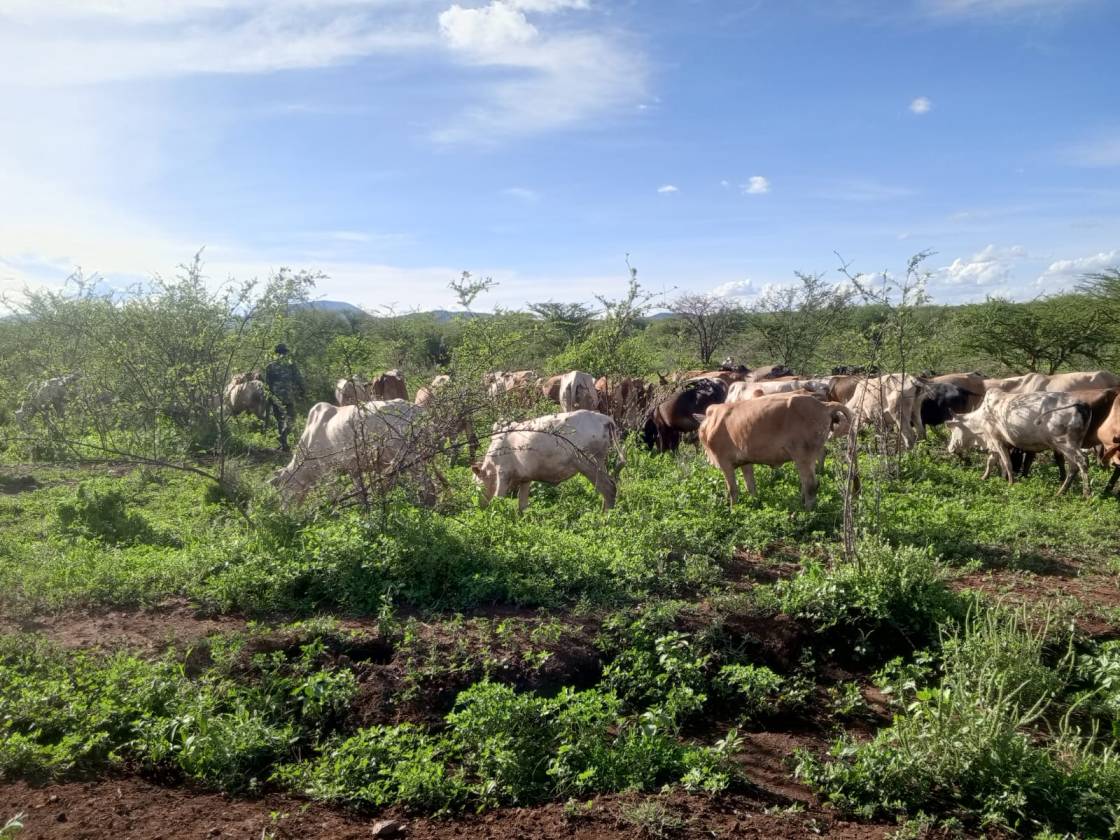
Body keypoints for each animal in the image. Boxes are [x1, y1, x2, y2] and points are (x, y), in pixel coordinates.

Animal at [270, 399, 439, 504]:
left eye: (283, 488)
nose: (284, 512)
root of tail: (419, 411)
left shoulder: (329, 473)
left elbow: (334, 498)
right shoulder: (353, 470)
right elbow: (360, 494)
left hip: (411, 457)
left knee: (427, 485)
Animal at [472, 410, 624, 512]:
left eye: (476, 485)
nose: (478, 507)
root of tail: (604, 419)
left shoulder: (503, 474)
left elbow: (498, 498)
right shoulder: (525, 478)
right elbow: (522, 505)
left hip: (588, 464)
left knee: (609, 489)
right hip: (600, 462)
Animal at [697, 392, 853, 510]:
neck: (711, 424)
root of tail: (824, 406)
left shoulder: (725, 463)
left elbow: (733, 490)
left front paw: (733, 510)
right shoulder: (745, 461)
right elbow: (750, 486)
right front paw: (754, 503)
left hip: (803, 456)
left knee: (810, 485)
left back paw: (807, 511)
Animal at [945, 389, 1092, 496]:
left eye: (953, 429)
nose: (950, 448)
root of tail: (1081, 404)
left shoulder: (997, 440)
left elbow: (1007, 463)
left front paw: (1010, 483)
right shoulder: (997, 443)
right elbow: (991, 461)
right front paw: (984, 477)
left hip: (1065, 443)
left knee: (1082, 461)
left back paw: (1086, 494)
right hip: (1069, 445)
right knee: (1073, 466)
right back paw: (1061, 492)